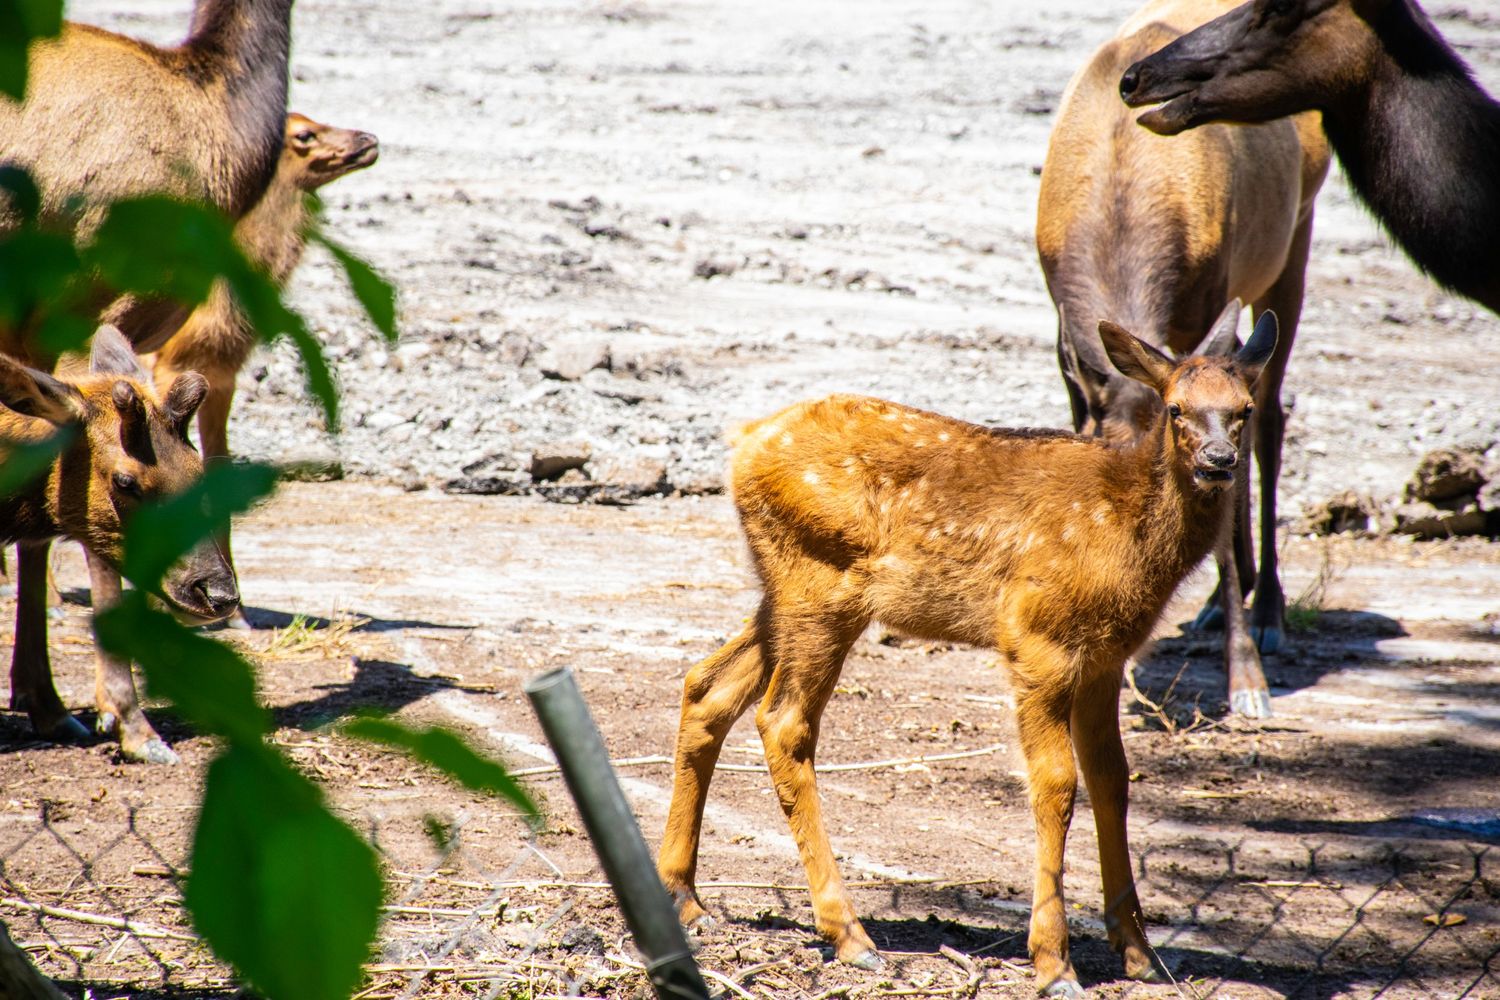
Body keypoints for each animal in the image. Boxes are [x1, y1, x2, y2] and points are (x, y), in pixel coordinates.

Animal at [657, 312, 1279, 998]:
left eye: (1244, 409)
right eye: (1175, 408)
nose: (1219, 461)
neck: (1128, 538)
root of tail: (743, 444)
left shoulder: (1107, 658)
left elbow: (1112, 778)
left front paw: (1139, 953)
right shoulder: (1036, 637)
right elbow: (1056, 783)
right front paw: (1054, 963)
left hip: (788, 593)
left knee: (706, 685)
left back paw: (685, 896)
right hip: (823, 585)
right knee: (783, 720)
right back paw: (849, 935)